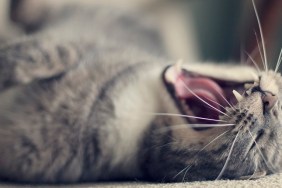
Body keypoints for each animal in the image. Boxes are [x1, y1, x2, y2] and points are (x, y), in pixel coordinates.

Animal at [0, 0, 282, 184]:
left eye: (256, 142)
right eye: (279, 106)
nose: (270, 100)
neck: (143, 112)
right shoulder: (80, 45)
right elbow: (39, 55)